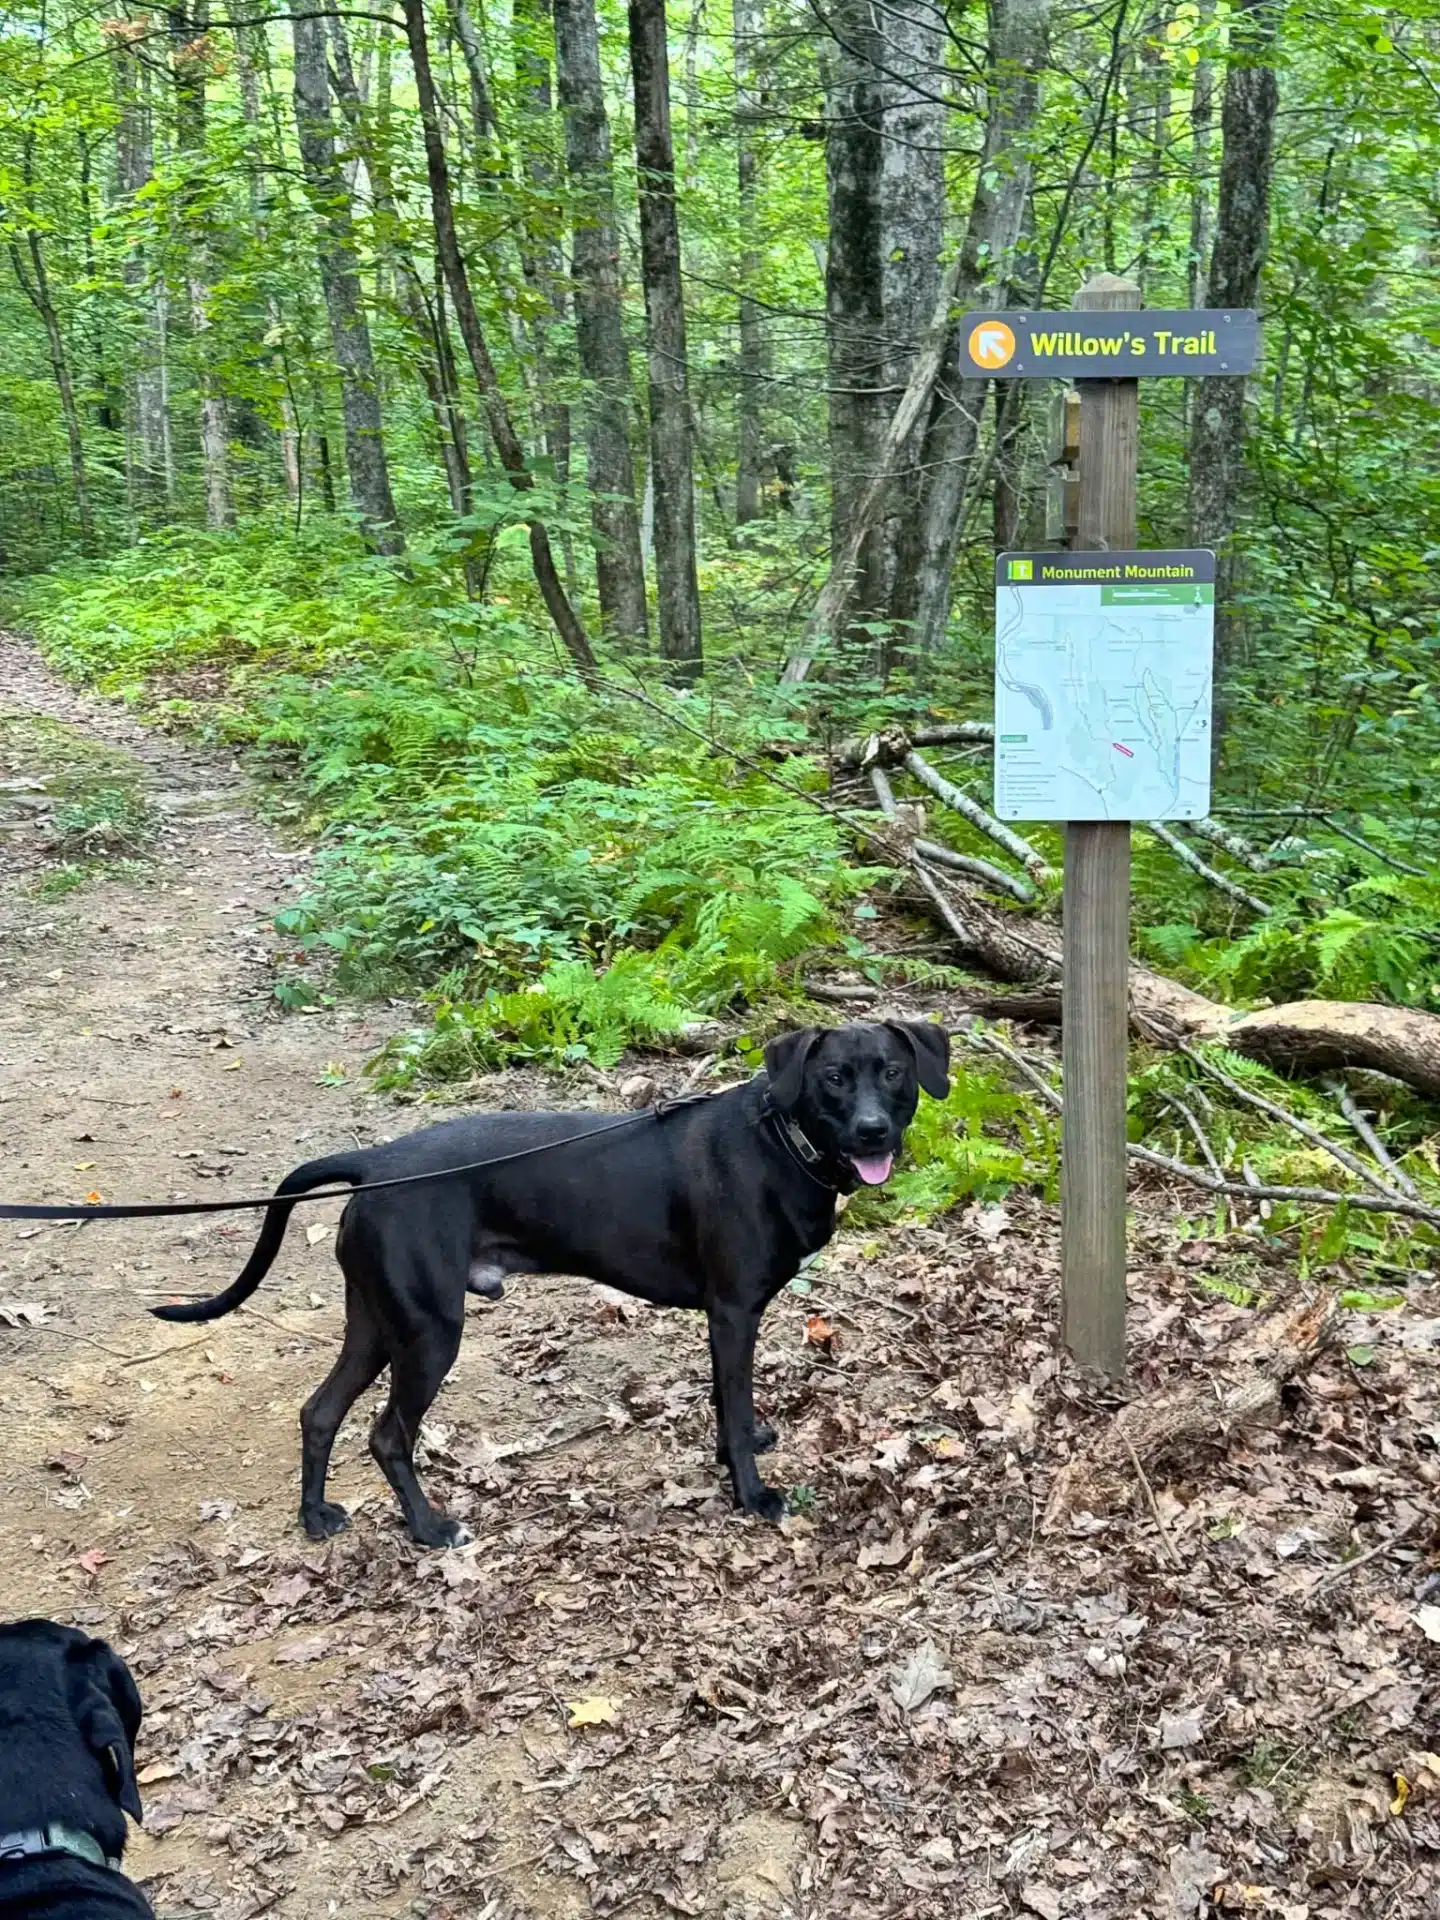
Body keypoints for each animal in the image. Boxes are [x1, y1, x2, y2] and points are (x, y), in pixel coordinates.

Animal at [155, 1021, 948, 1543]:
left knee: (319, 1412)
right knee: (386, 1436)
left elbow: (732, 1405)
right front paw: (750, 1493)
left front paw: (746, 1441)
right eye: (834, 1077)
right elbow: (730, 1403)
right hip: (429, 1334)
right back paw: (429, 1528)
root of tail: (377, 1162)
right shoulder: (731, 1312)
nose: (875, 1132)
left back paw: (315, 1516)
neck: (782, 1138)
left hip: (378, 1321)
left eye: (892, 1071)